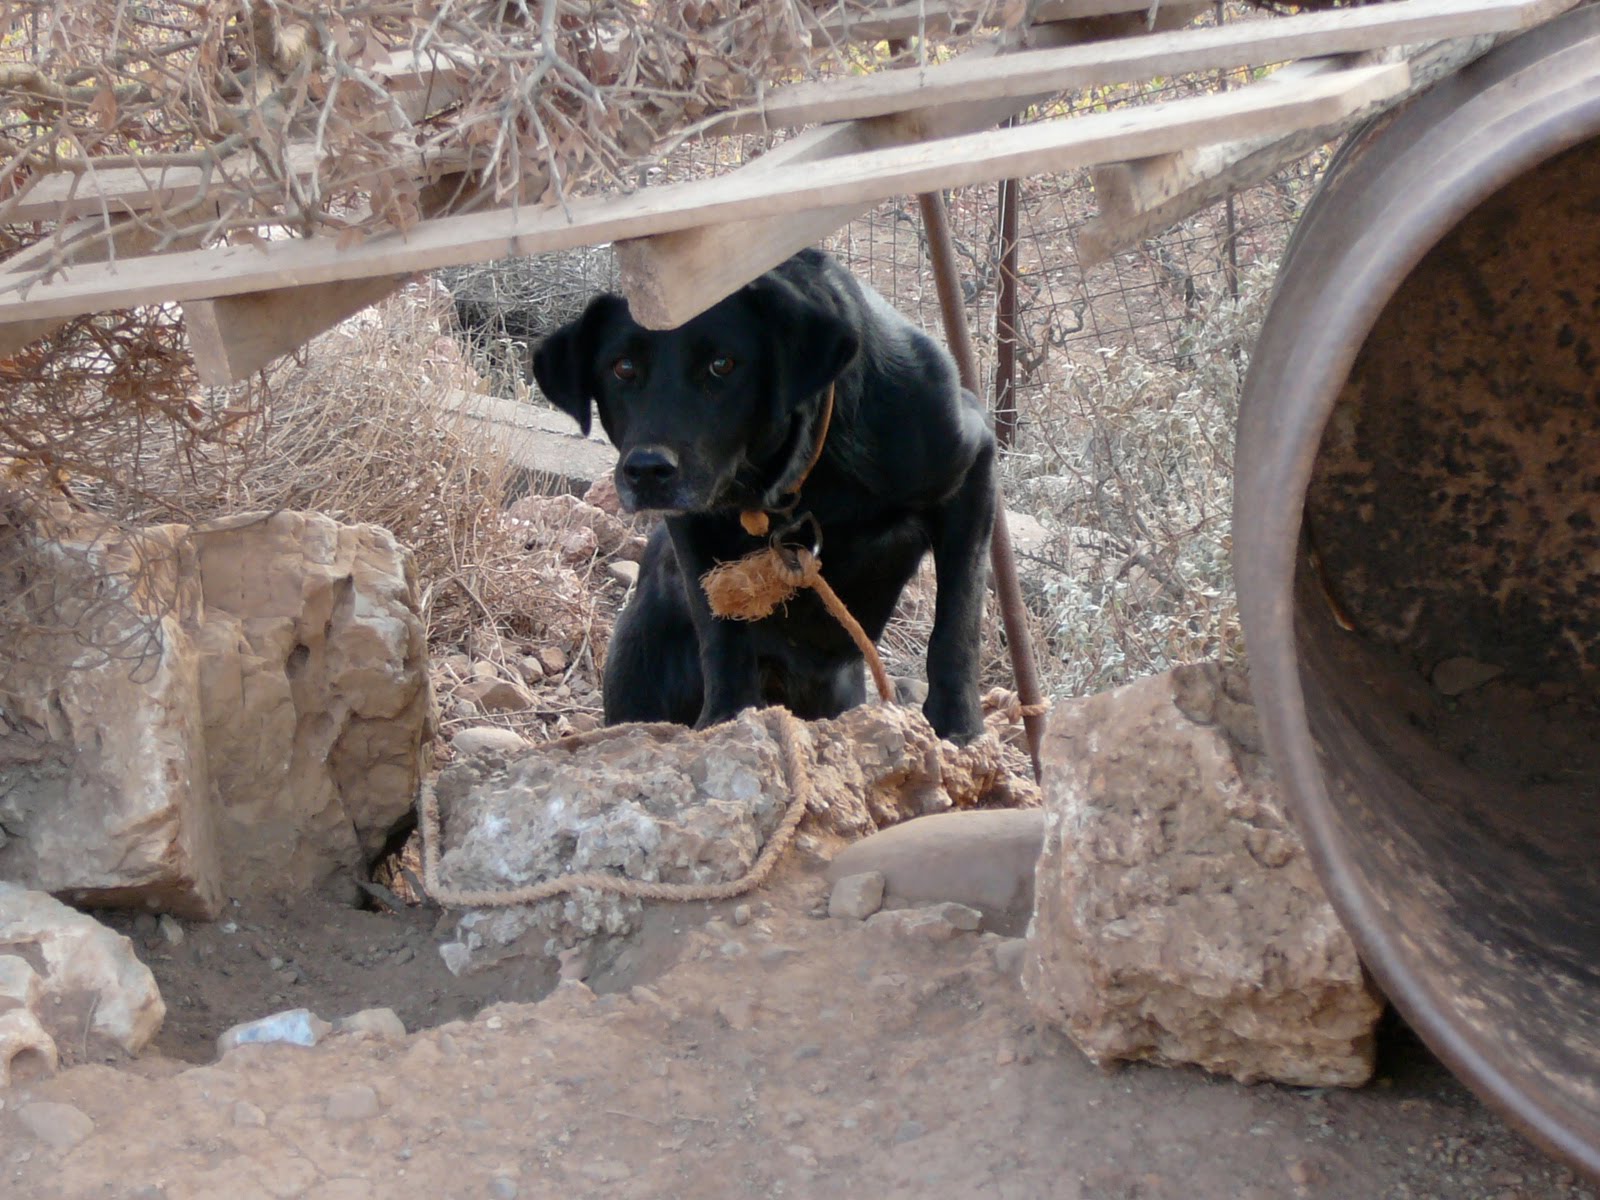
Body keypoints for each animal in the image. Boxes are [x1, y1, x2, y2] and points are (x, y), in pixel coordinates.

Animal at [531, 248, 992, 742]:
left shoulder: (973, 468)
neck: (807, 474)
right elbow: (720, 631)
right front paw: (728, 717)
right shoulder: (694, 523)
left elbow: (957, 623)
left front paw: (956, 723)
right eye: (623, 368)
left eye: (723, 364)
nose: (648, 470)